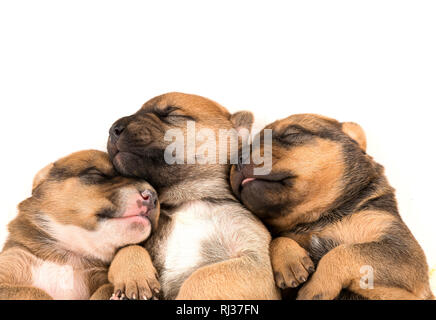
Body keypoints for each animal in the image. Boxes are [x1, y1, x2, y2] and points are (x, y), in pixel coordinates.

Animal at [0, 150, 160, 300]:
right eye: (97, 174)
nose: (153, 196)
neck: (70, 256)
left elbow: (129, 252)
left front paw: (135, 278)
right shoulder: (10, 265)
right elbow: (34, 292)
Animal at [105, 92, 280, 300]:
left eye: (172, 113)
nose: (113, 129)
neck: (188, 200)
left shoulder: (254, 260)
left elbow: (201, 278)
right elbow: (129, 248)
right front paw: (134, 277)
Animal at [230, 114, 434, 300]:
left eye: (292, 133)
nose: (237, 159)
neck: (317, 218)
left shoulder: (405, 253)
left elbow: (346, 251)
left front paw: (316, 288)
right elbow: (277, 239)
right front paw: (289, 263)